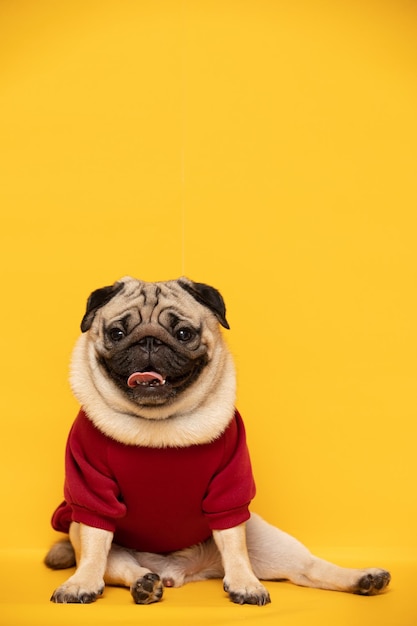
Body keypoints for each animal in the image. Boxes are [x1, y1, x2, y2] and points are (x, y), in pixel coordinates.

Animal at [45, 276, 390, 604]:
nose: (149, 341)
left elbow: (234, 543)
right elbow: (94, 548)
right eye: (117, 333)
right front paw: (82, 583)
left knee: (309, 568)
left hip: (269, 543)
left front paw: (245, 584)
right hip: (87, 536)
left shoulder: (229, 491)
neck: (160, 423)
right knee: (120, 565)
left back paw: (364, 579)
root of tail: (183, 571)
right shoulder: (91, 495)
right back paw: (144, 584)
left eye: (184, 334)